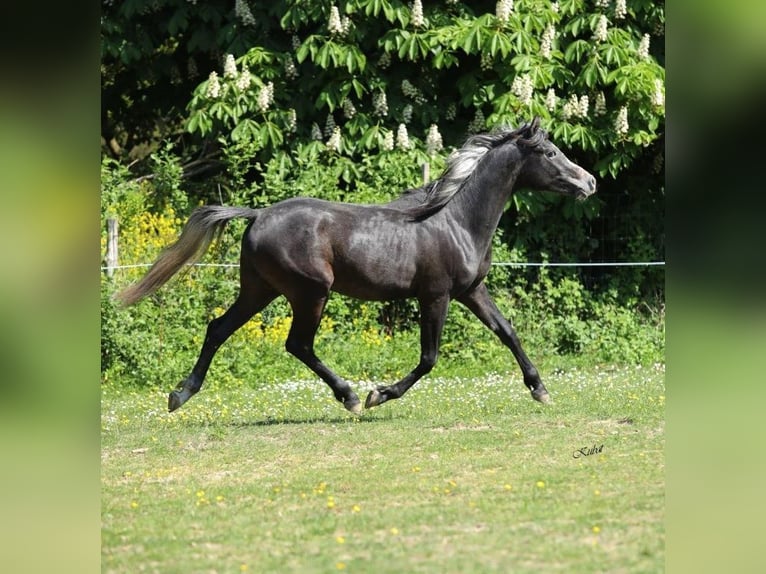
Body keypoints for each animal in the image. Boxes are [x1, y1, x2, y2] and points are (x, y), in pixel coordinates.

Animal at [118, 117, 596, 415]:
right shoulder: (436, 295)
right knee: (298, 344)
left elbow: (507, 332)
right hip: (310, 292)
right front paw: (378, 395)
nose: (589, 181)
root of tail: (257, 214)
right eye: (549, 152)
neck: (455, 218)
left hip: (260, 289)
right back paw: (348, 396)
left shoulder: (471, 291)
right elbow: (429, 358)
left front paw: (540, 390)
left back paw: (180, 394)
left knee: (218, 328)